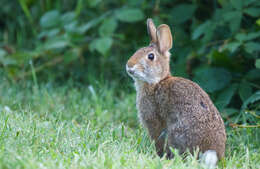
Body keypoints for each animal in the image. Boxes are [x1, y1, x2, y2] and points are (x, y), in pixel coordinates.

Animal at [126, 18, 225, 168]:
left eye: (151, 56)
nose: (129, 66)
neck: (157, 82)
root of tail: (211, 152)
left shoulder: (153, 120)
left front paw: (158, 155)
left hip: (176, 132)